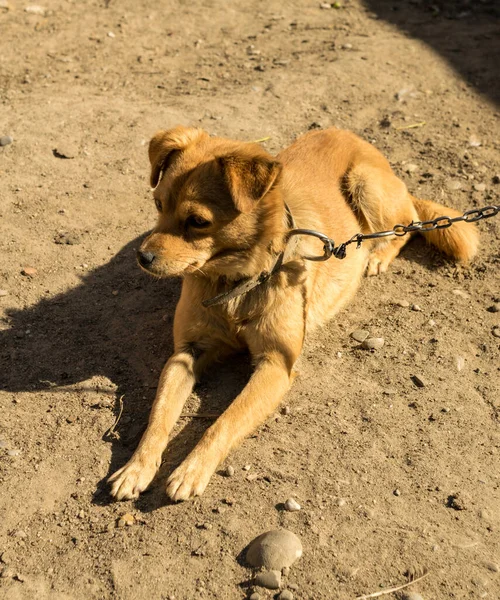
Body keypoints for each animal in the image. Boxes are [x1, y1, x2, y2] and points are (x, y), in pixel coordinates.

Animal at [108, 126, 476, 502]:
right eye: (158, 205)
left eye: (198, 221)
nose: (142, 258)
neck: (235, 281)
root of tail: (354, 138)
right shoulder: (186, 353)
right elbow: (159, 415)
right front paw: (137, 466)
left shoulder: (276, 364)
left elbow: (224, 420)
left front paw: (192, 469)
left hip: (366, 184)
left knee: (408, 224)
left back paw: (378, 255)